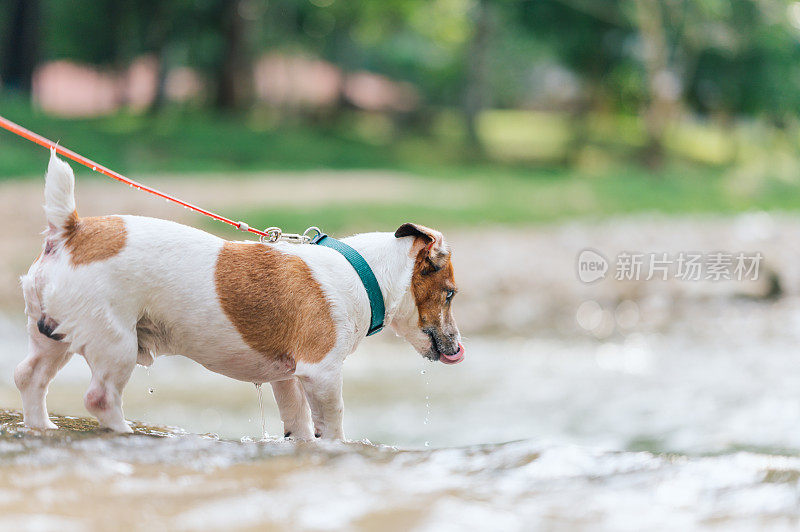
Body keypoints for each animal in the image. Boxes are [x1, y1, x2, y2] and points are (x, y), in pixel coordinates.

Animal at [12, 152, 466, 438]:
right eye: (450, 294)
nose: (459, 347)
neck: (363, 271)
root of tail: (69, 232)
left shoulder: (286, 379)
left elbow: (299, 428)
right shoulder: (321, 374)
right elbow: (333, 427)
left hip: (53, 335)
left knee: (29, 377)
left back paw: (42, 428)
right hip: (114, 343)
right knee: (100, 398)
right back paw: (124, 433)